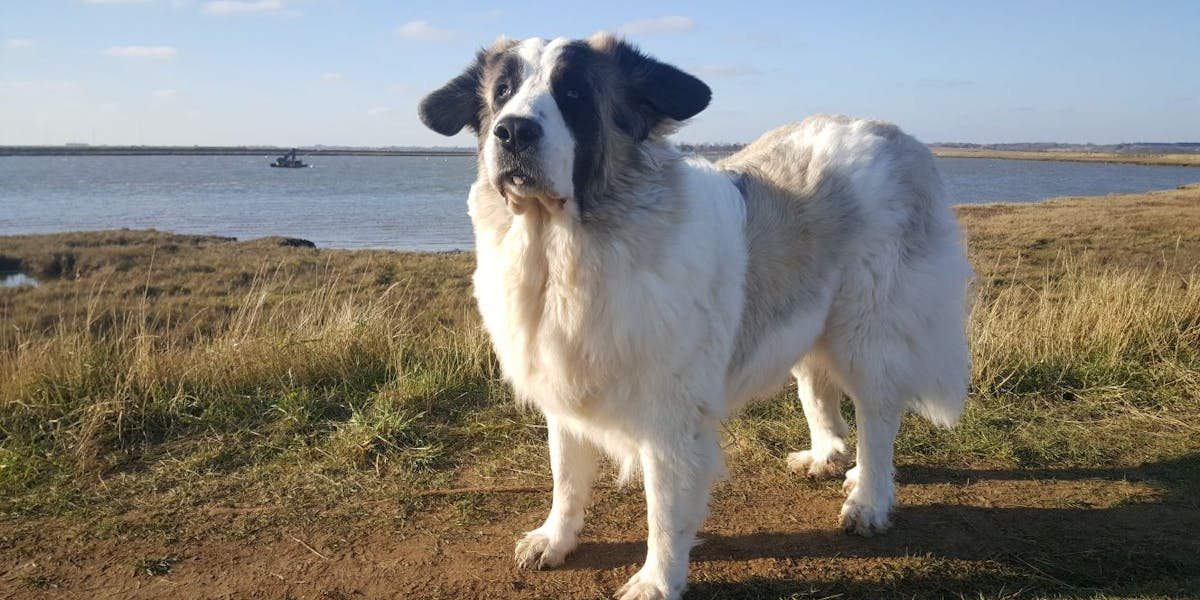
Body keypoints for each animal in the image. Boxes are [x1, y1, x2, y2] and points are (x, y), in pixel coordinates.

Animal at [420, 34, 974, 600]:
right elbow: (566, 475)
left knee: (877, 420)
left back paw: (868, 497)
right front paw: (555, 539)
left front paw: (655, 581)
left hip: (866, 332)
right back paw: (826, 458)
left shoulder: (670, 416)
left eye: (573, 93)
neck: (565, 254)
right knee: (819, 391)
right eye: (502, 93)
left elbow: (664, 509)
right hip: (803, 312)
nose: (513, 130)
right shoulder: (565, 385)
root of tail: (897, 136)